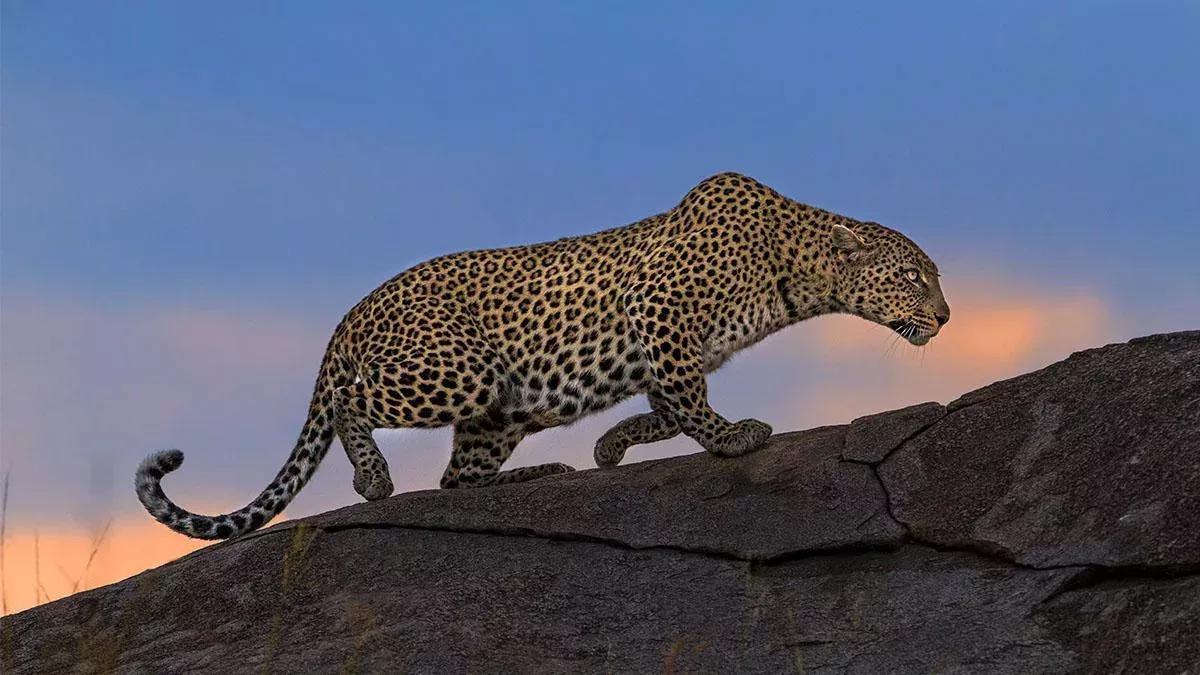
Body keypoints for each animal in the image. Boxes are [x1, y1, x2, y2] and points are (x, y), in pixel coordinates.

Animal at [136, 171, 950, 539]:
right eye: (914, 276)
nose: (946, 316)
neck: (799, 270)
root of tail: (355, 308)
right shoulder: (659, 310)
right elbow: (691, 405)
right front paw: (734, 439)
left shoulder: (668, 346)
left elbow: (666, 408)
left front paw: (610, 446)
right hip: (462, 371)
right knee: (350, 403)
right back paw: (373, 477)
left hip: (496, 411)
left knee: (457, 478)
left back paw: (537, 474)